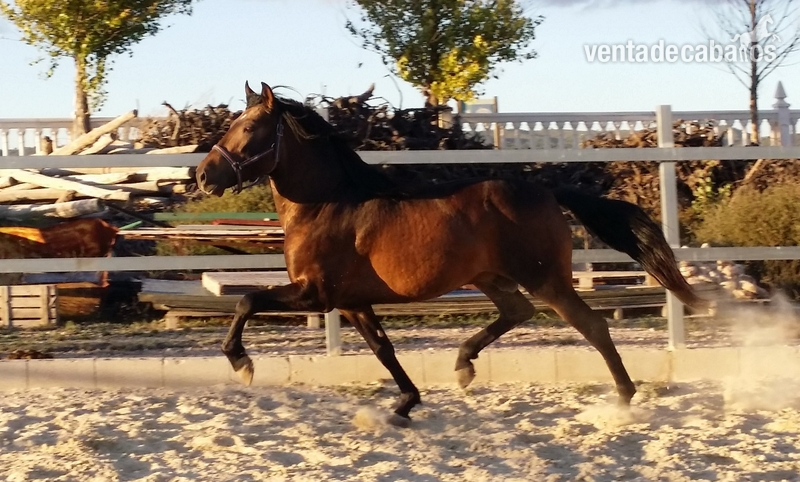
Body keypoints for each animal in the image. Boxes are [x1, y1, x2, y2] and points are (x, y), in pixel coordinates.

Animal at [196, 81, 709, 425]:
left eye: (250, 126)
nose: (203, 175)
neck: (329, 203)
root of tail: (546, 190)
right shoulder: (352, 301)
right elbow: (383, 349)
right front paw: (404, 404)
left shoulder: (316, 294)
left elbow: (246, 301)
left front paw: (241, 363)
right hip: (489, 277)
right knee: (517, 311)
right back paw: (463, 365)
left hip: (545, 278)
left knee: (592, 325)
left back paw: (621, 399)